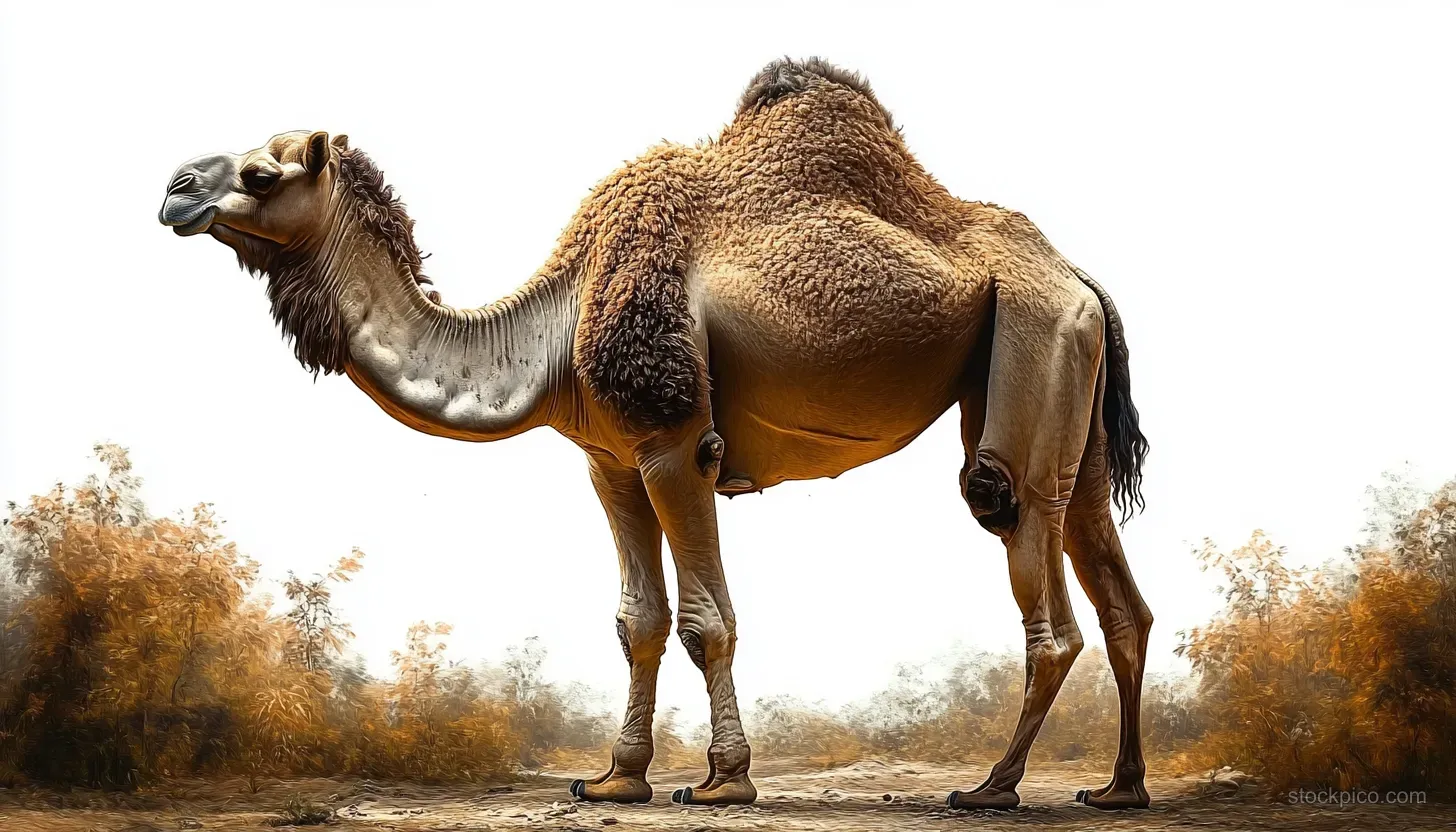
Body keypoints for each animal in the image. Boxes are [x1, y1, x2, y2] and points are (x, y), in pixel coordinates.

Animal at [158, 58, 1153, 811]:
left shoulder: (676, 441)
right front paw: (614, 778)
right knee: (1112, 583)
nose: (174, 189)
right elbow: (637, 620)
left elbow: (707, 620)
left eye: (261, 173)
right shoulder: (608, 459)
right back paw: (1119, 790)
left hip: (1029, 341)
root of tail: (1080, 277)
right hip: (1061, 381)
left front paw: (722, 782)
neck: (559, 320)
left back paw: (992, 787)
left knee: (1021, 532)